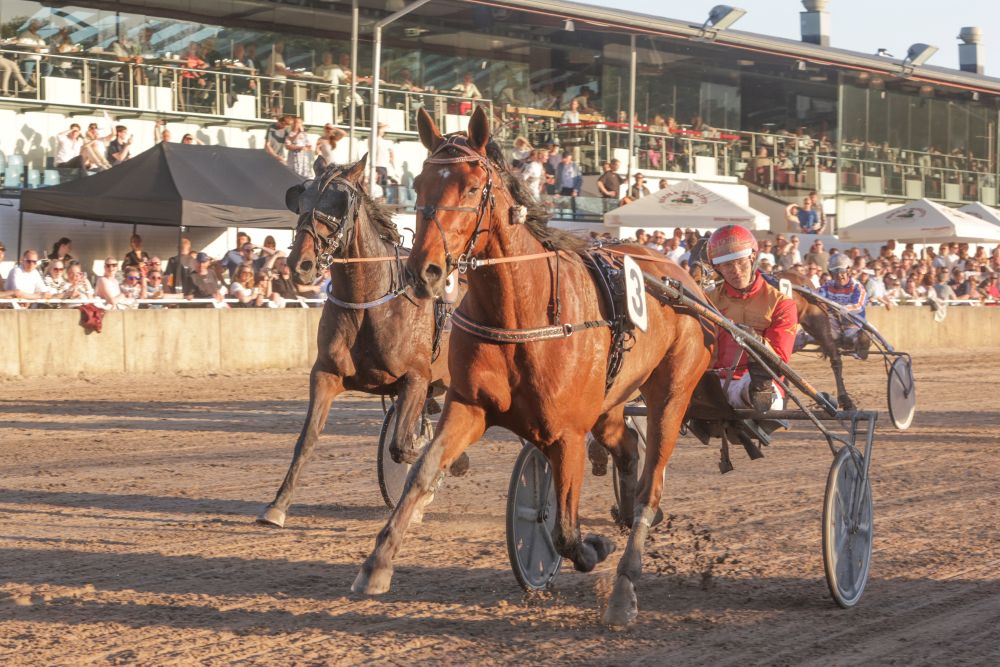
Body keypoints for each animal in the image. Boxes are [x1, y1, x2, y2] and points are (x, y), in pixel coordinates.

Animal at [256, 156, 465, 528]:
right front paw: (277, 505)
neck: (372, 300)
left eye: (340, 203)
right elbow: (307, 438)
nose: (300, 264)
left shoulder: (416, 378)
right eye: (302, 199)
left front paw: (446, 469)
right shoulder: (326, 374)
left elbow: (403, 446)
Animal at [350, 107, 716, 628]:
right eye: (417, 183)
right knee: (628, 449)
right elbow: (423, 471)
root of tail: (685, 277)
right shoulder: (469, 406)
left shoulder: (566, 435)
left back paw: (624, 586)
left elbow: (564, 530)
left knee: (652, 486)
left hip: (672, 394)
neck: (524, 309)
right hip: (609, 403)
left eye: (470, 187)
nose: (425, 271)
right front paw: (376, 564)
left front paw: (594, 547)